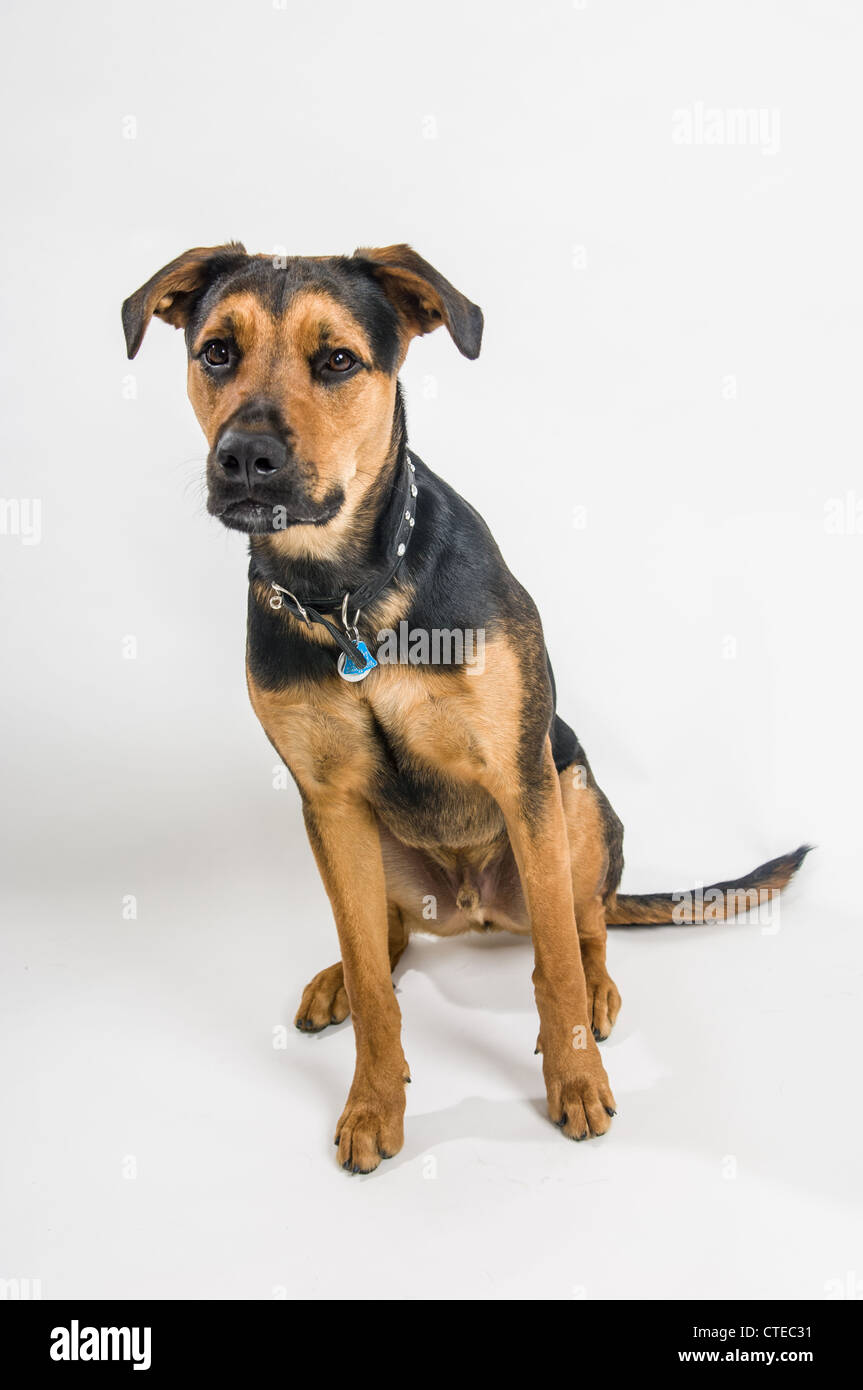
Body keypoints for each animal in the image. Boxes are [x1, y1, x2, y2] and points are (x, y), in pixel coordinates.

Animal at [122, 241, 806, 1173]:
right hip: (371, 850)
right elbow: (376, 983)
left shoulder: (523, 779)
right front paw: (373, 1100)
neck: (348, 598)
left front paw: (574, 1081)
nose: (245, 458)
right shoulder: (328, 804)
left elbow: (553, 962)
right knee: (381, 938)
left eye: (338, 361)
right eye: (217, 351)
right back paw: (339, 977)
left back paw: (598, 988)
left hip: (574, 798)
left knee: (585, 921)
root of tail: (473, 907)